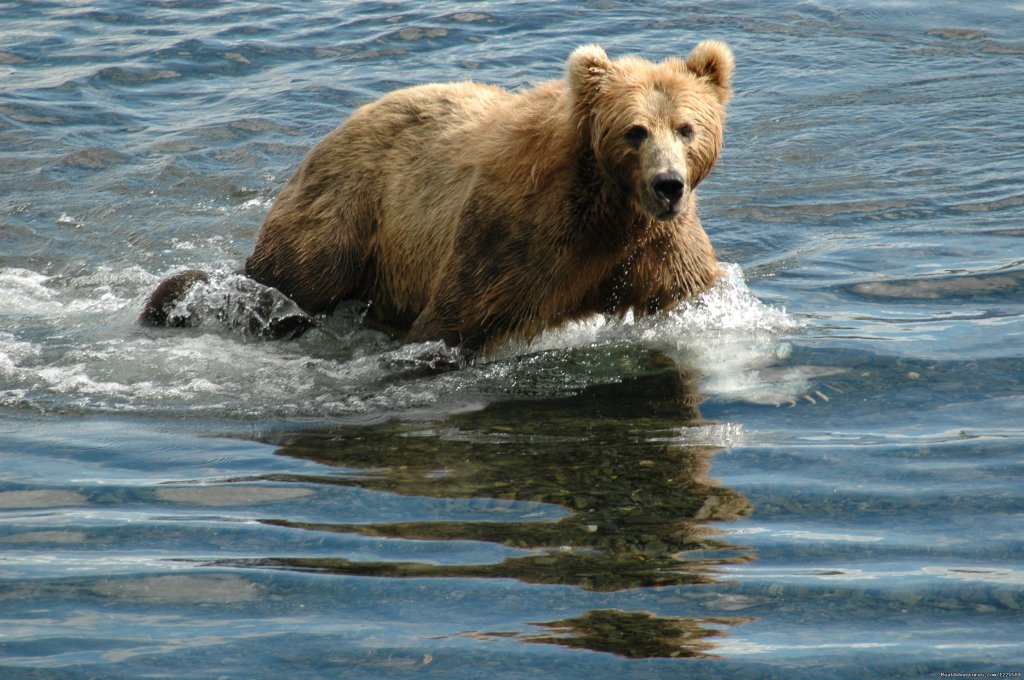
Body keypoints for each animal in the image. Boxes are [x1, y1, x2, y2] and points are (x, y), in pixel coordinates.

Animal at [144, 41, 737, 356]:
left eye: (686, 127)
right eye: (635, 131)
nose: (668, 184)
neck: (608, 208)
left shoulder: (656, 246)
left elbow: (699, 301)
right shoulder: (519, 237)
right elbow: (451, 323)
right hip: (347, 214)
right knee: (285, 281)